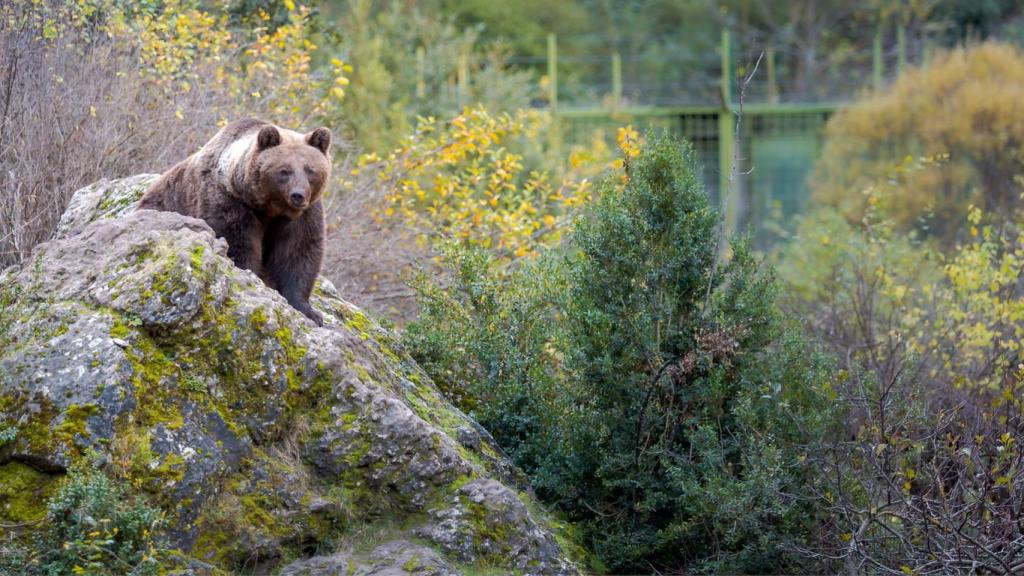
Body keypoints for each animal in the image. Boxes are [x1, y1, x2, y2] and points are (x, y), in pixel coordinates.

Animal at [139, 118, 332, 326]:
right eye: (284, 170)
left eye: (310, 170)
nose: (298, 195)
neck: (270, 207)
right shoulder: (230, 201)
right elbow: (238, 244)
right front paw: (254, 281)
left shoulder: (303, 215)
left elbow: (298, 252)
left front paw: (309, 311)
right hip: (163, 204)